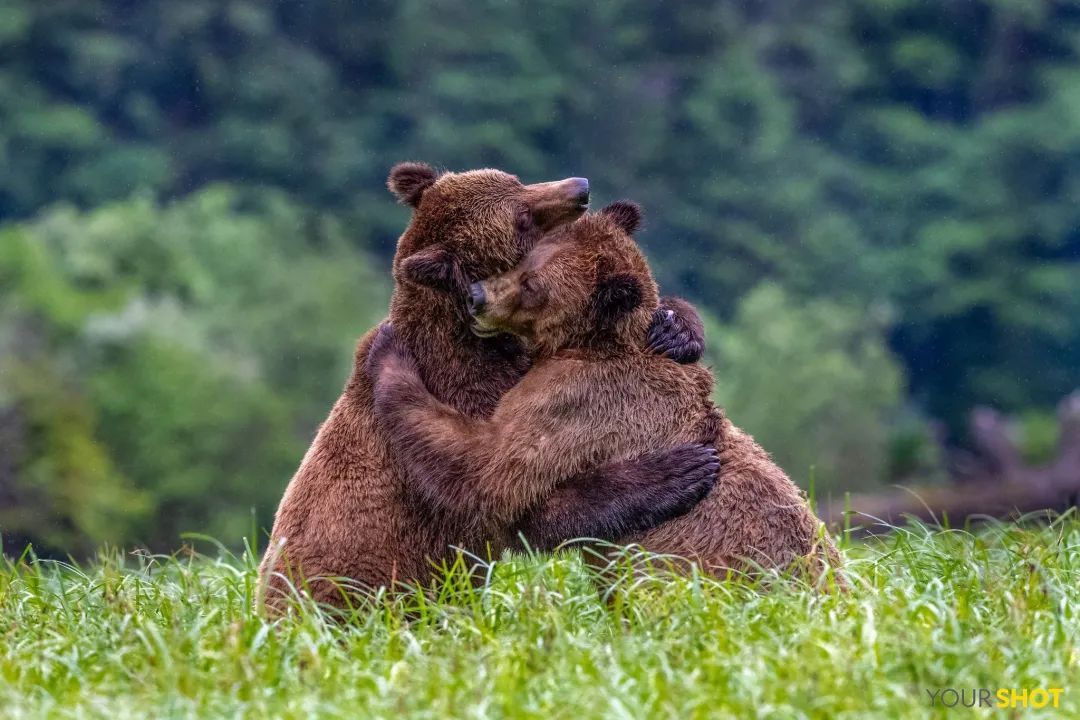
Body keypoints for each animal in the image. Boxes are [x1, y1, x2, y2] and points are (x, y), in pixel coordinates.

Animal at [258, 166, 721, 613]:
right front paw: (677, 470)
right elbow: (506, 491)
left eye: (516, 180)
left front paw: (675, 331)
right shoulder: (473, 396)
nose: (581, 188)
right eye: (521, 217)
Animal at [367, 198, 846, 587]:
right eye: (521, 260)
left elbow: (489, 468)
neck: (588, 341)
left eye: (533, 285)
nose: (476, 297)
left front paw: (389, 355)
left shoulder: (578, 399)